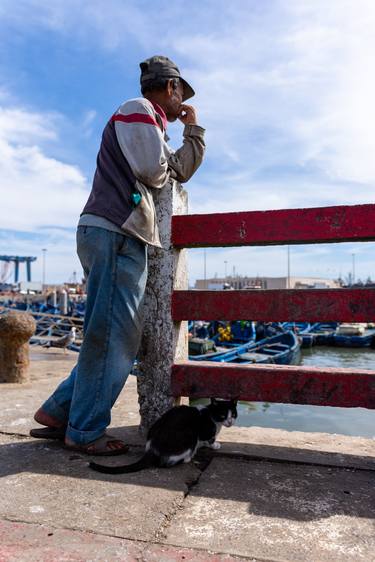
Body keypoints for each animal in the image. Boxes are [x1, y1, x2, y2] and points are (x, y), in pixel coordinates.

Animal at [90, 398, 238, 472]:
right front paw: (214, 445)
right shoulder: (205, 430)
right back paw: (187, 458)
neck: (211, 415)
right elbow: (209, 438)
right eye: (223, 415)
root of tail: (152, 448)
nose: (230, 422)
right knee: (166, 463)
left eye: (234, 415)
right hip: (188, 436)